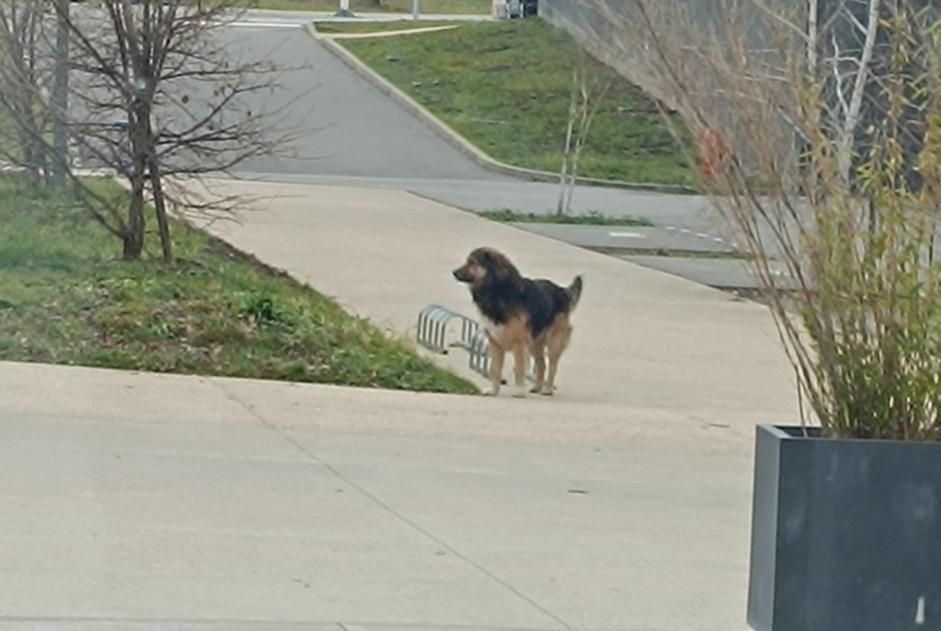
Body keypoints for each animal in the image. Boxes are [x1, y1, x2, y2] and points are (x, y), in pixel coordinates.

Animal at [454, 246, 580, 398]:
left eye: (472, 262)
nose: (454, 272)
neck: (496, 291)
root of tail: (562, 291)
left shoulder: (518, 343)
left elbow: (519, 369)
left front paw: (519, 391)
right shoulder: (495, 343)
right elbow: (495, 370)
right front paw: (493, 391)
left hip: (553, 341)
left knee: (552, 365)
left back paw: (547, 389)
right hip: (534, 343)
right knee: (542, 364)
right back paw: (537, 387)